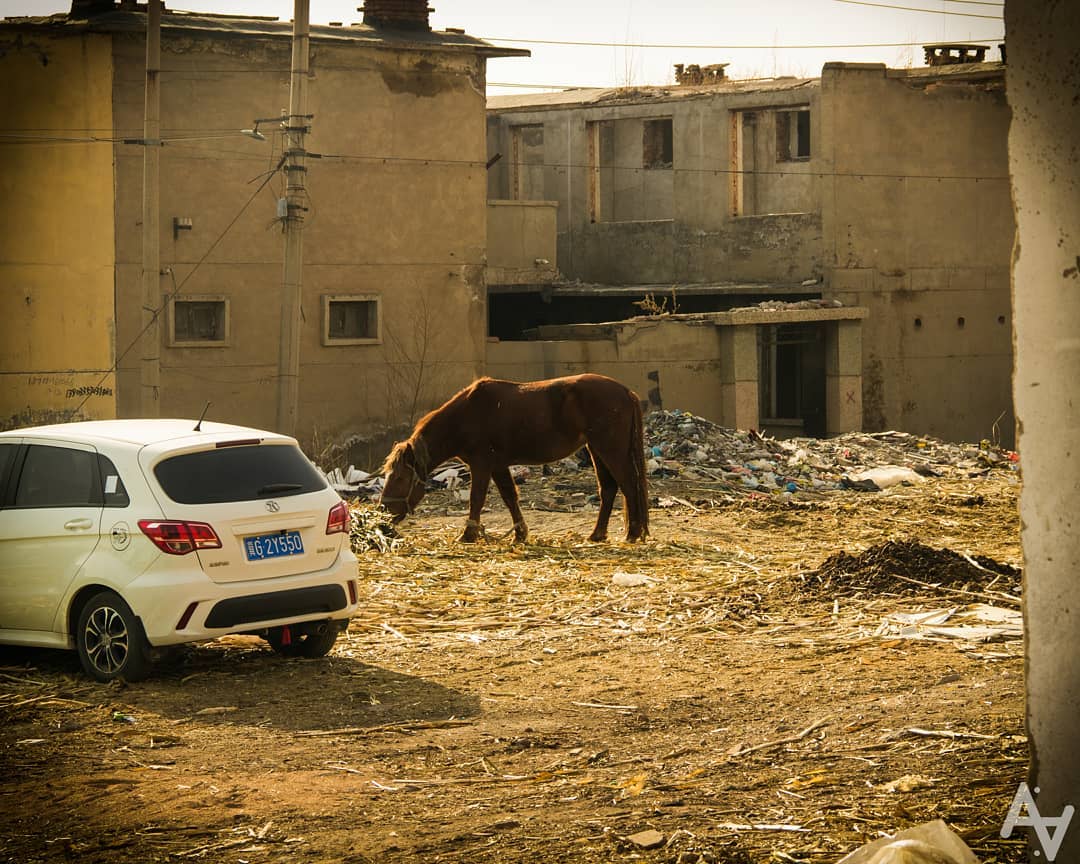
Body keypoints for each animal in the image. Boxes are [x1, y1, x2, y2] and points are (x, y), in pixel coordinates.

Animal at [380, 373, 648, 544]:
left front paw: (468, 535)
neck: (466, 415)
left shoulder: (481, 465)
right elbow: (510, 498)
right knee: (609, 489)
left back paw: (633, 533)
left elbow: (477, 499)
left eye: (401, 477)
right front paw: (520, 534)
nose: (383, 514)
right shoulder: (498, 466)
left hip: (610, 449)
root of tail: (626, 392)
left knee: (628, 485)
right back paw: (598, 534)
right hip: (596, 450)